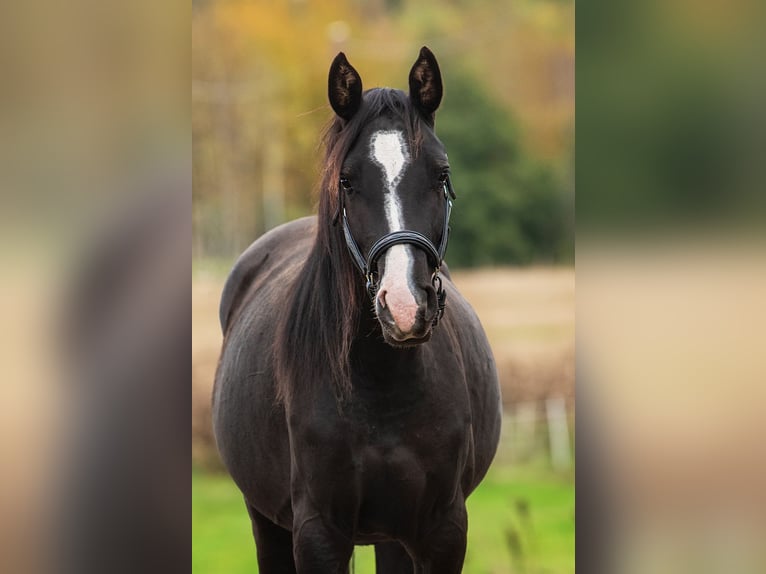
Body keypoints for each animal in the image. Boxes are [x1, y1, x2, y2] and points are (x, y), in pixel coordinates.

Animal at [213, 47, 504, 572]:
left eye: (441, 175)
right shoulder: (317, 533)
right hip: (265, 521)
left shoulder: (443, 531)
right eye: (346, 182)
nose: (404, 306)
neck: (382, 385)